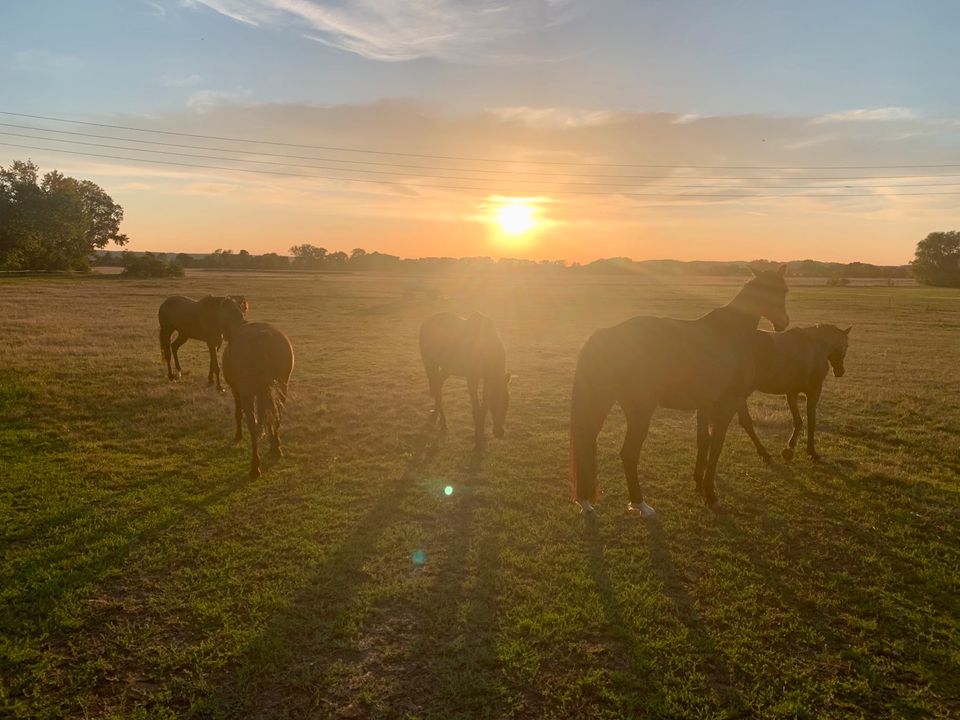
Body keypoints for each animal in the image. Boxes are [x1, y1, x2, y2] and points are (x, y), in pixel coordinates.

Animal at [219, 298, 294, 478]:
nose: (222, 336)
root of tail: (263, 338)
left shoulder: (237, 391)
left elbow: (238, 414)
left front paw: (238, 435)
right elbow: (267, 416)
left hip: (249, 394)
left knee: (253, 426)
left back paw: (255, 466)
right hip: (282, 386)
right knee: (276, 415)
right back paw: (276, 446)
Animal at [418, 314, 510, 448]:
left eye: (507, 401)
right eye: (494, 402)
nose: (499, 432)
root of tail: (425, 322)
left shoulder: (486, 379)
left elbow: (483, 407)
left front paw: (481, 435)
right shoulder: (472, 378)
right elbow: (477, 409)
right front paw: (478, 438)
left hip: (446, 368)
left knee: (438, 385)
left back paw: (436, 413)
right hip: (430, 364)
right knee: (436, 387)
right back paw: (443, 423)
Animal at [568, 268, 788, 516]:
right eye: (781, 290)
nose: (784, 323)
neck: (731, 332)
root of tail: (608, 334)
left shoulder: (705, 404)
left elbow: (703, 441)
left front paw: (699, 482)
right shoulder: (727, 403)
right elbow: (718, 445)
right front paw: (711, 494)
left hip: (602, 403)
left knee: (587, 443)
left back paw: (586, 502)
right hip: (639, 412)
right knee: (628, 453)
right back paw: (640, 504)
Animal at [740, 324, 852, 462]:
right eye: (846, 345)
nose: (840, 371)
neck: (814, 347)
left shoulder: (792, 392)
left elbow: (798, 421)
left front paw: (791, 444)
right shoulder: (814, 392)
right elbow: (811, 421)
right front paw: (811, 451)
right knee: (745, 421)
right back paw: (763, 452)